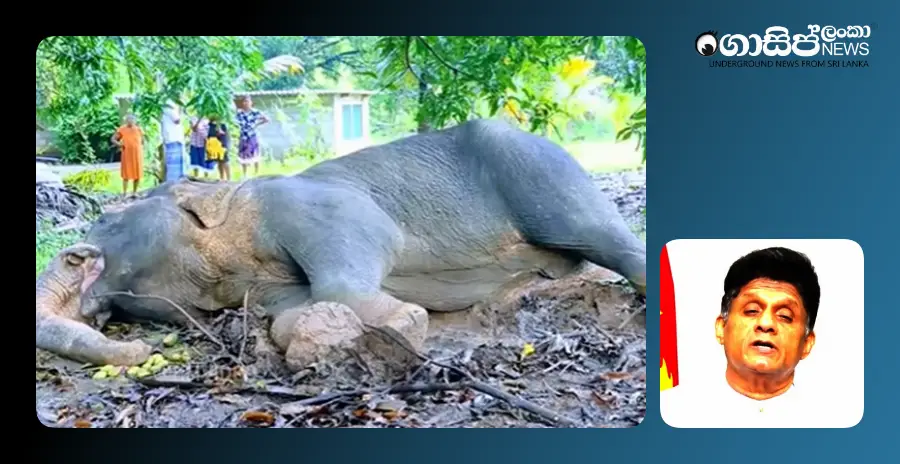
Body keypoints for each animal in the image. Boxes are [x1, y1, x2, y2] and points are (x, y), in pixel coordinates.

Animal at [35, 118, 647, 369]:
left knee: (607, 238)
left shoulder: (304, 203)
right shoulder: (258, 285)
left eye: (106, 218)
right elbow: (285, 312)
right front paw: (315, 333)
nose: (140, 351)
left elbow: (366, 241)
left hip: (540, 171)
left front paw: (405, 320)